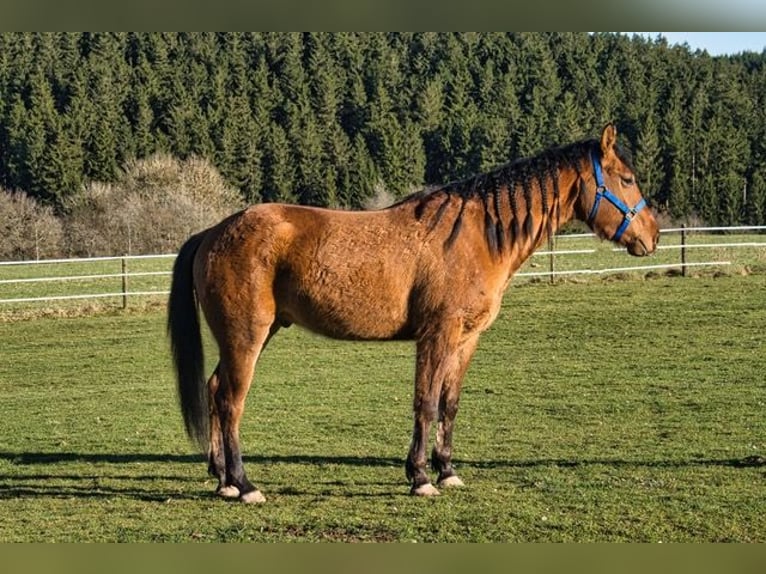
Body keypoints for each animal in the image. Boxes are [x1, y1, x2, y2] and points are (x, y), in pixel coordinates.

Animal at [167, 123, 660, 503]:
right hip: (246, 336)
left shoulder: (466, 339)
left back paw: (222, 480)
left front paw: (447, 471)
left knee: (215, 390)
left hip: (252, 336)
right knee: (231, 401)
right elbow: (425, 402)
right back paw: (244, 484)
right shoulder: (436, 335)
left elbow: (449, 403)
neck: (477, 236)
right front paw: (421, 477)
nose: (652, 236)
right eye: (627, 178)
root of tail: (213, 231)